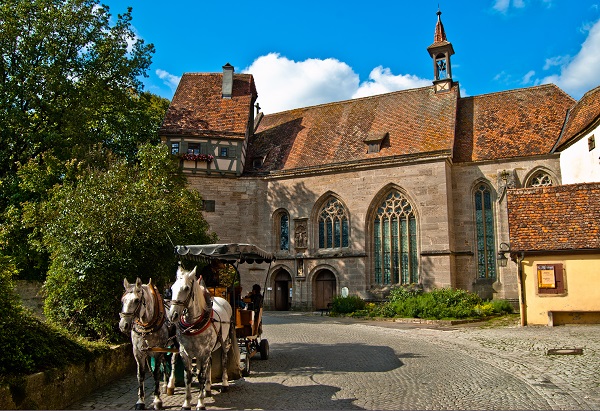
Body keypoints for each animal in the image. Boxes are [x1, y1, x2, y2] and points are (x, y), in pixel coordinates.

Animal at [119, 278, 178, 410]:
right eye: (122, 300)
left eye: (136, 300)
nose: (123, 325)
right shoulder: (138, 353)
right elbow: (140, 375)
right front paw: (140, 401)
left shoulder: (156, 352)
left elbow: (156, 373)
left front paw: (157, 399)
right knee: (165, 362)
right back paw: (165, 385)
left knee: (172, 361)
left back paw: (170, 384)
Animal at [170, 266, 236, 410]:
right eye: (172, 288)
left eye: (186, 288)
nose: (173, 315)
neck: (193, 325)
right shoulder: (185, 353)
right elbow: (188, 377)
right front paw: (187, 403)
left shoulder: (204, 353)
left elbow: (201, 376)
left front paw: (200, 403)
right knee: (208, 365)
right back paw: (208, 388)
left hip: (224, 342)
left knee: (223, 360)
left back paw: (224, 384)